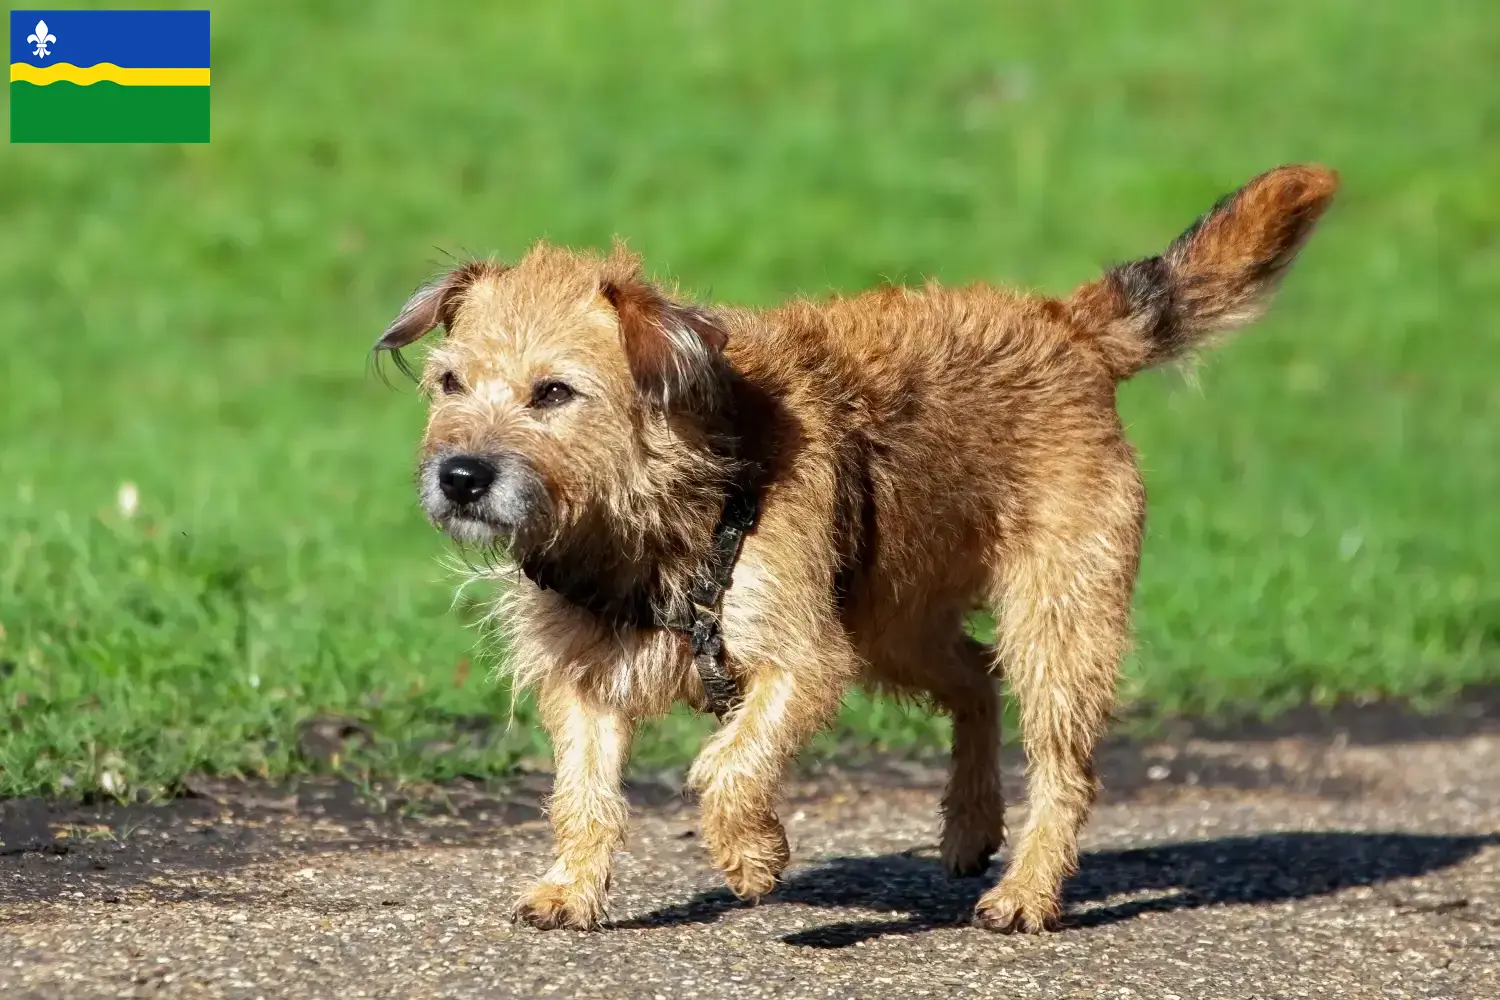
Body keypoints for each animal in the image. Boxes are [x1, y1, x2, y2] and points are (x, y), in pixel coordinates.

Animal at [372, 162, 1338, 929]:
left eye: (554, 393)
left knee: (1063, 763)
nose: (460, 475)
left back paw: (1026, 892)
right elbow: (583, 792)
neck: (652, 524)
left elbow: (730, 764)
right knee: (975, 675)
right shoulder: (583, 674)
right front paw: (572, 888)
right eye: (450, 382)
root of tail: (1066, 324)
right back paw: (969, 825)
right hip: (890, 618)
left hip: (1055, 618)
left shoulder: (801, 656)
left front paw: (751, 855)